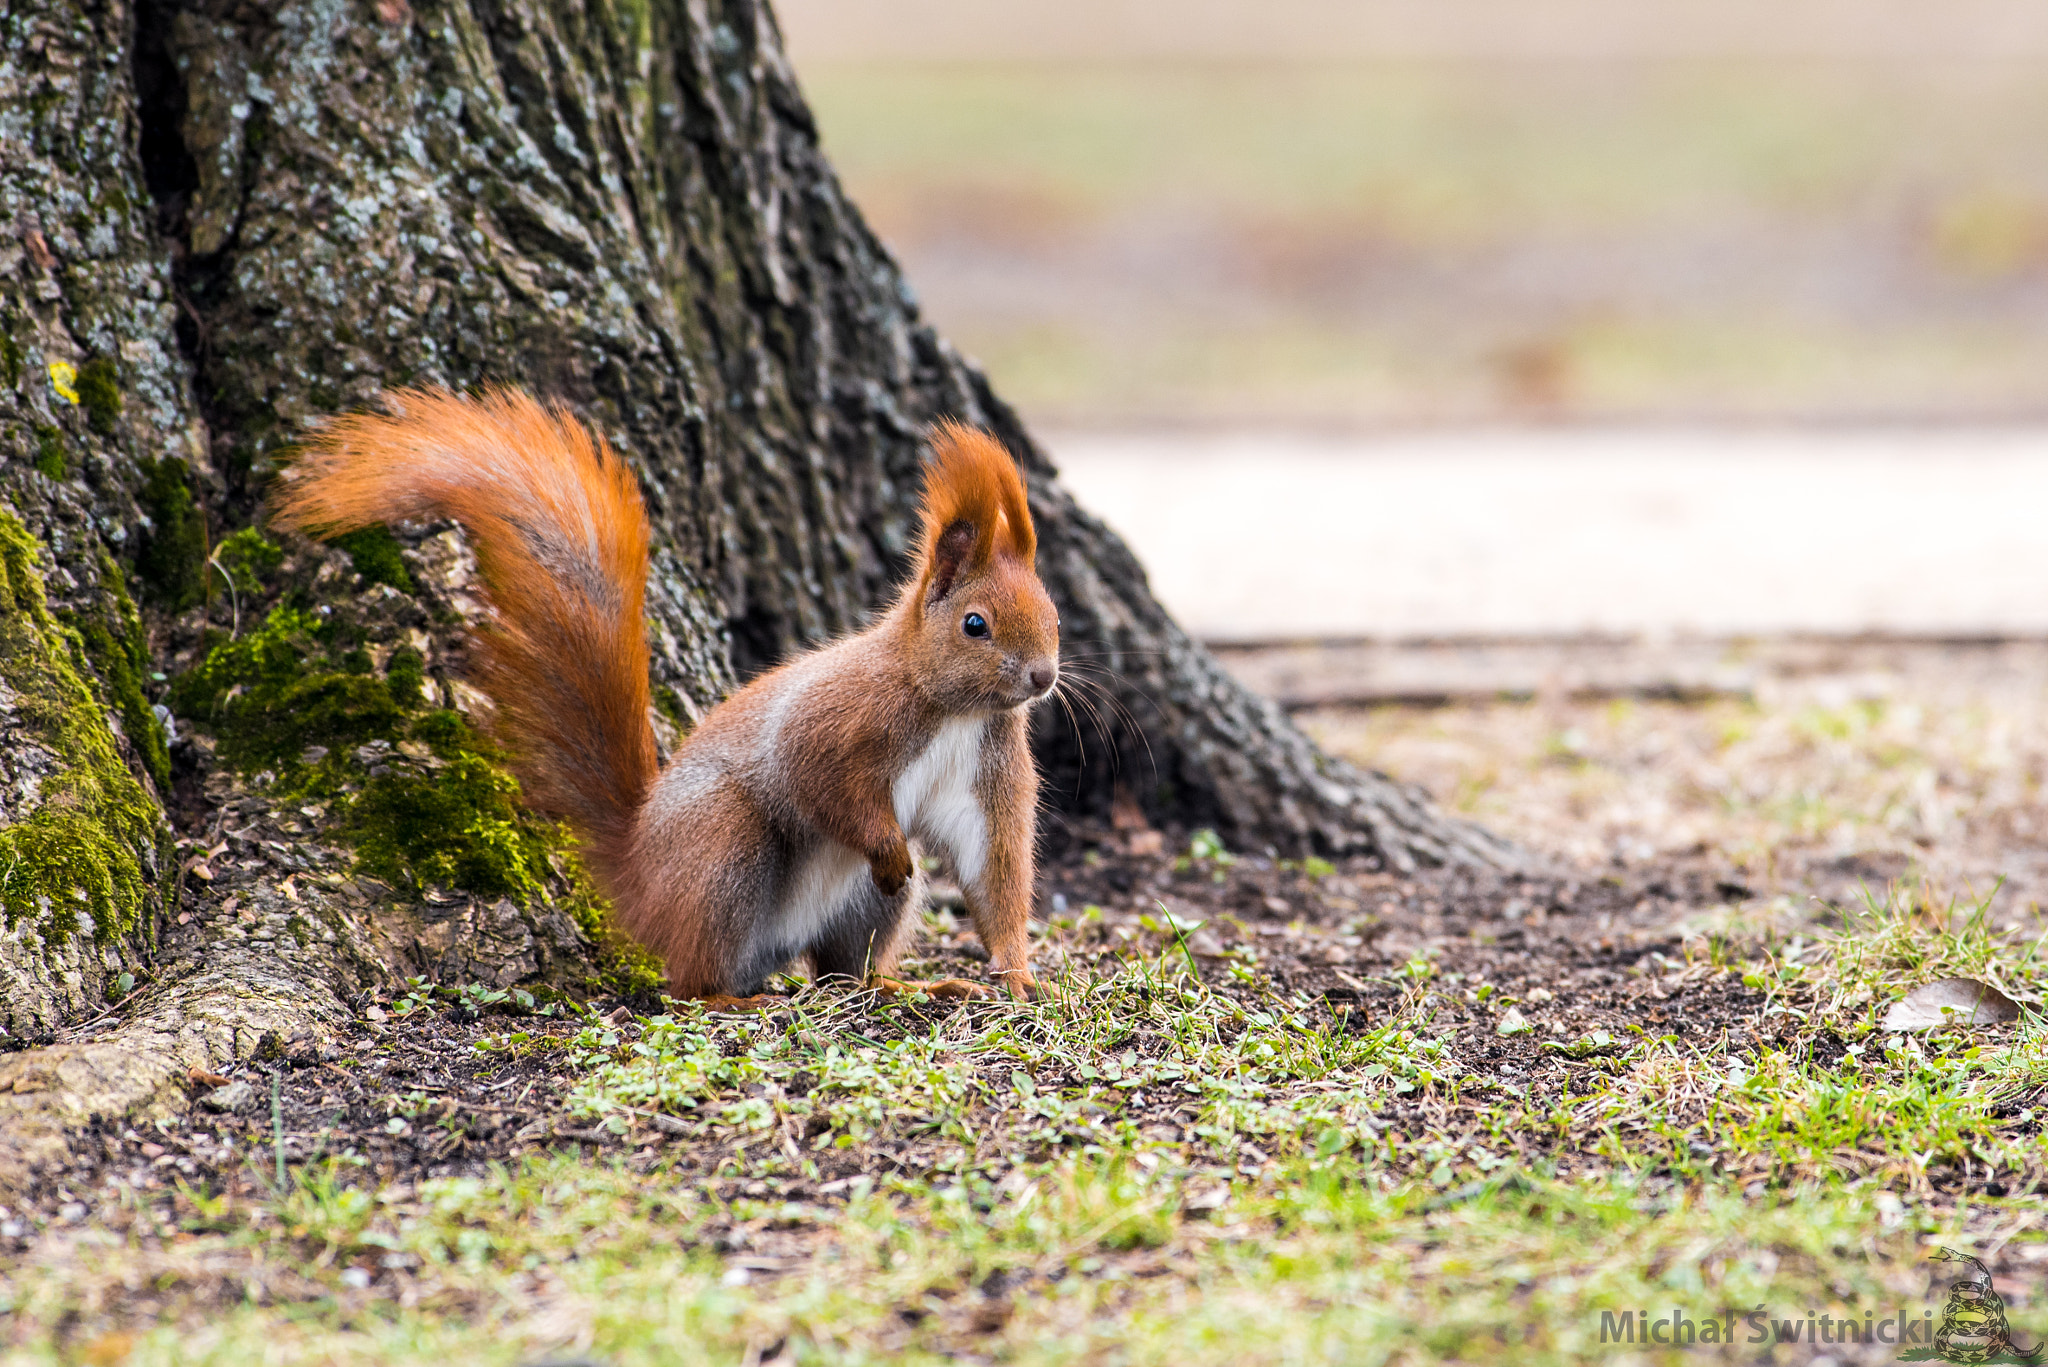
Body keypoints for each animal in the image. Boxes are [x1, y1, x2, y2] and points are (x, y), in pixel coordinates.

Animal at [270, 389, 1056, 1000]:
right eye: (975, 624)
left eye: (1052, 614)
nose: (1043, 677)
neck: (954, 708)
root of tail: (639, 878)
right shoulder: (839, 716)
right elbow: (820, 780)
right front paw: (887, 845)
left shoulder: (987, 770)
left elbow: (994, 864)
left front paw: (1015, 972)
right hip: (724, 846)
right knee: (690, 982)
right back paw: (734, 998)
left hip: (854, 908)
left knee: (841, 972)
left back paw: (907, 986)